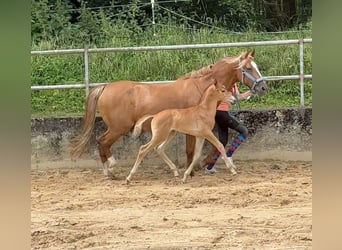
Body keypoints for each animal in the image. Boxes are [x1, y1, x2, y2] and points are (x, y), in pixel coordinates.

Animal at [70, 49, 268, 176]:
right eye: (248, 68)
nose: (263, 88)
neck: (202, 89)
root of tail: (105, 87)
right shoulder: (192, 129)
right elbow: (191, 150)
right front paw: (192, 171)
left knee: (101, 141)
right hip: (119, 127)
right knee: (102, 141)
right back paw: (110, 168)